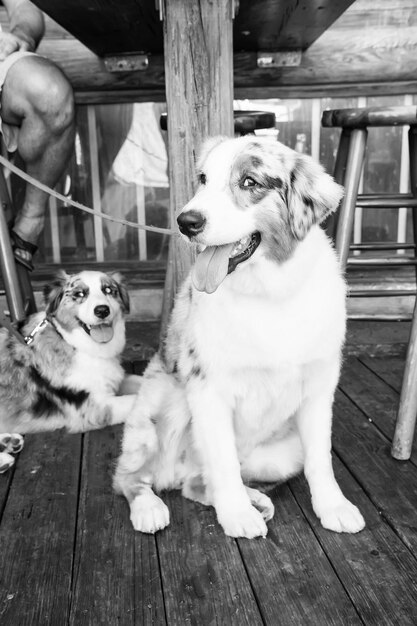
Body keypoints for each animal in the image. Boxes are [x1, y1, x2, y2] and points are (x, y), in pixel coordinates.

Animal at [0, 268, 141, 468]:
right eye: (79, 294)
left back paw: (8, 442)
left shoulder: (113, 381)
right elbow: (138, 398)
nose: (102, 310)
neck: (78, 346)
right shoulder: (93, 408)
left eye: (108, 290)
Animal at [114, 135, 364, 536]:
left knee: (195, 483)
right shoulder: (208, 389)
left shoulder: (318, 389)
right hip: (164, 406)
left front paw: (333, 506)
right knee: (131, 477)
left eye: (249, 182)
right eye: (202, 178)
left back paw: (255, 499)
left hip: (281, 456)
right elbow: (224, 461)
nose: (186, 221)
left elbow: (320, 459)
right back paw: (150, 508)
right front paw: (236, 515)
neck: (268, 294)